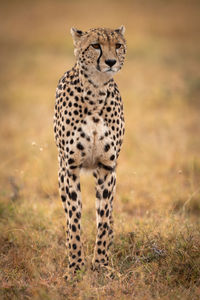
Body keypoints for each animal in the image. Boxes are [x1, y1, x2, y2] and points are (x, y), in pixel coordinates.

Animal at [53, 24, 126, 278]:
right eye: (95, 45)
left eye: (118, 45)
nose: (111, 61)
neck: (96, 93)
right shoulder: (70, 168)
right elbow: (74, 219)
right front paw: (75, 267)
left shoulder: (107, 168)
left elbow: (102, 218)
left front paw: (101, 265)